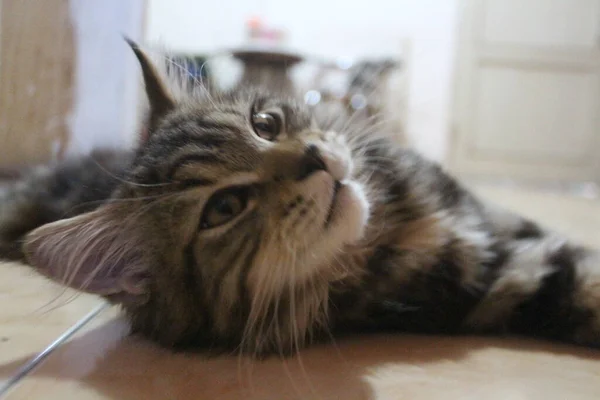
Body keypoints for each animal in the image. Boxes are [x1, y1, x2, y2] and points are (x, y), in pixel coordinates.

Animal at [1, 40, 600, 358]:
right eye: (224, 208)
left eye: (264, 123)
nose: (315, 157)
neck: (391, 225)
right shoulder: (496, 282)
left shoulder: (503, 236)